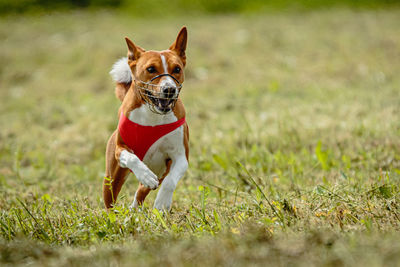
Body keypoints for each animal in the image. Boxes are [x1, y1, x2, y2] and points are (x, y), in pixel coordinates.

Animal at [103, 27, 191, 211]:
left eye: (177, 69)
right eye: (151, 69)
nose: (169, 89)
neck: (154, 117)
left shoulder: (180, 156)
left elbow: (170, 182)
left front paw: (162, 202)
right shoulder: (120, 149)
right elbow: (132, 158)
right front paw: (144, 174)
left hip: (161, 170)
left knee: (142, 191)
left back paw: (134, 209)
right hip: (111, 178)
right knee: (110, 201)